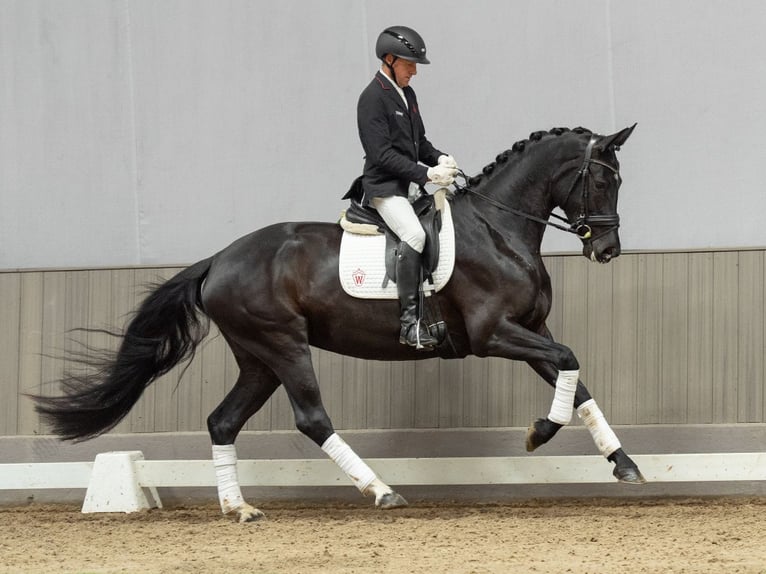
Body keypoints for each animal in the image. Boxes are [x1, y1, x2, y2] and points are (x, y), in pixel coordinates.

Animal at [32, 124, 644, 522]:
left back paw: (239, 507)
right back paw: (380, 491)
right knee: (311, 418)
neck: (499, 228)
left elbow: (577, 381)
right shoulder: (494, 334)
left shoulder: (533, 331)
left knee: (223, 421)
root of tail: (219, 259)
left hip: (258, 358)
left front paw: (625, 464)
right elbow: (570, 363)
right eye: (601, 181)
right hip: (284, 345)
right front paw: (539, 433)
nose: (608, 250)